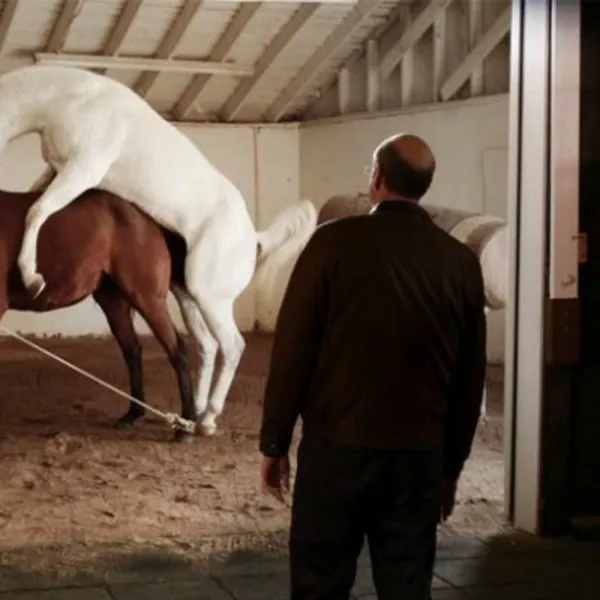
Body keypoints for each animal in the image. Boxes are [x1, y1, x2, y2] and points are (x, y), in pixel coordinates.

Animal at [0, 187, 200, 442]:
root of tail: (147, 218)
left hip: (148, 299)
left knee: (177, 351)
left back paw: (185, 427)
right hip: (113, 302)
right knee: (132, 350)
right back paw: (133, 414)